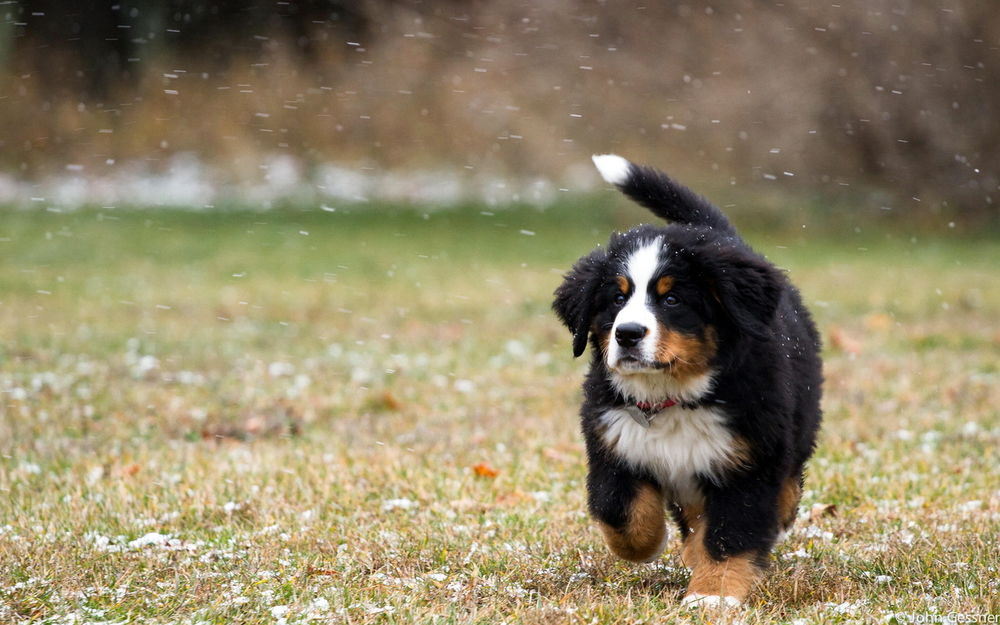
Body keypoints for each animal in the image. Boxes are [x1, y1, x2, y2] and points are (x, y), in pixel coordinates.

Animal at [552, 154, 824, 608]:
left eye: (672, 299)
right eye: (616, 298)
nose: (627, 334)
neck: (672, 398)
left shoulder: (747, 461)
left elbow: (731, 534)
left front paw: (712, 595)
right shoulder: (613, 442)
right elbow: (619, 510)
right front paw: (648, 544)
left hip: (797, 420)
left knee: (788, 477)